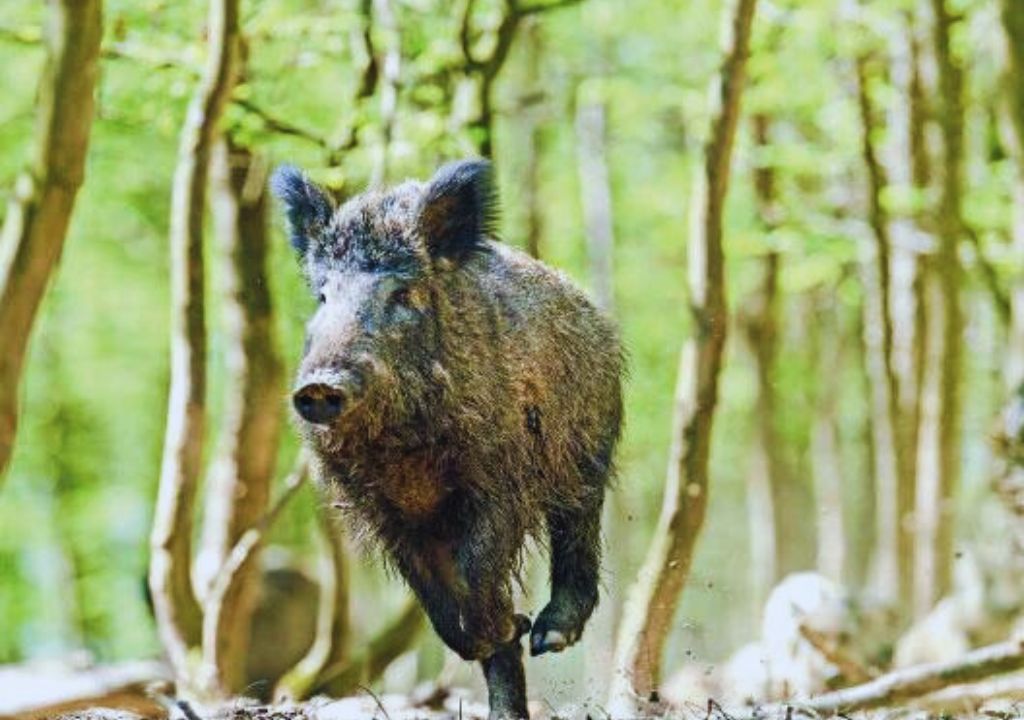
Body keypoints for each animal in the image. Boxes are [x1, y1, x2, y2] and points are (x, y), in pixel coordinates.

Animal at [271, 159, 624, 719]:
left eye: (401, 293)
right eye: (323, 296)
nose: (319, 385)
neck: (405, 454)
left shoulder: (500, 479)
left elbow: (478, 573)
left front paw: (512, 625)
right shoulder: (388, 514)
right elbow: (438, 603)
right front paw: (499, 633)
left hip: (589, 445)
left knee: (577, 525)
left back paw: (547, 636)